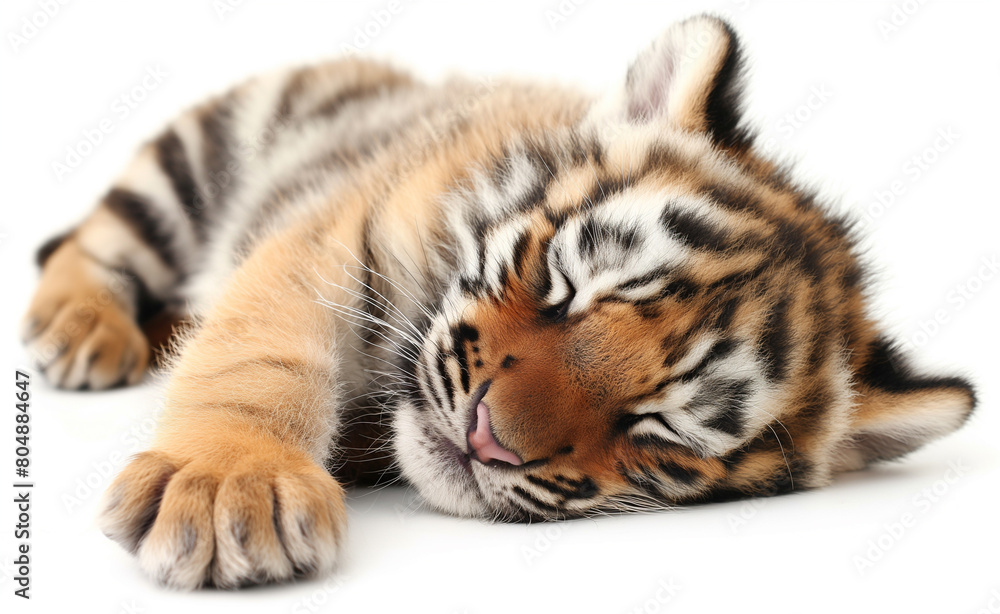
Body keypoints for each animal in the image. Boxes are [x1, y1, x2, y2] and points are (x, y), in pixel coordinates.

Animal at [21, 14, 975, 589]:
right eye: (562, 282)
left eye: (658, 429)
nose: (487, 438)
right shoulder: (333, 234)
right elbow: (259, 351)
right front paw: (230, 486)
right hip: (204, 153)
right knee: (92, 242)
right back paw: (84, 330)